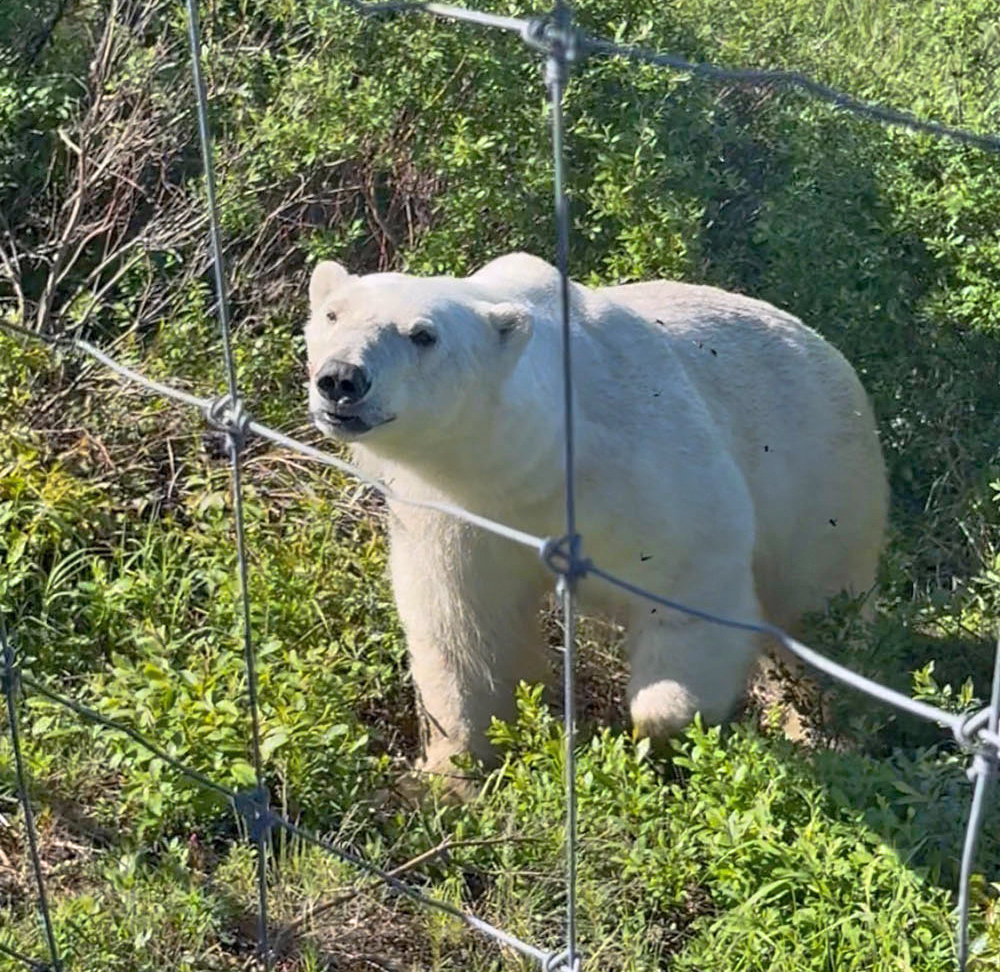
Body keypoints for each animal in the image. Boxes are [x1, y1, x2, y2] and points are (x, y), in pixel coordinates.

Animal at [304, 252, 888, 782]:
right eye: (332, 314)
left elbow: (691, 588)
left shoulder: (647, 471)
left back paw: (825, 732)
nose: (341, 379)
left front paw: (661, 729)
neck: (537, 458)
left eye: (423, 335)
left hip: (823, 476)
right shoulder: (458, 512)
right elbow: (465, 631)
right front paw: (450, 777)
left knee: (817, 611)